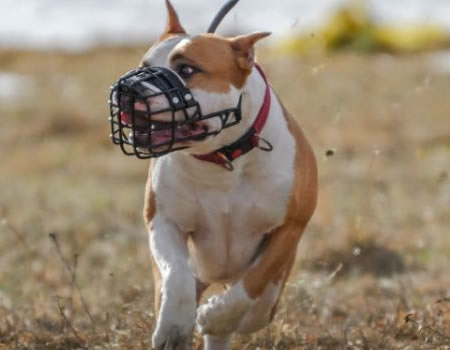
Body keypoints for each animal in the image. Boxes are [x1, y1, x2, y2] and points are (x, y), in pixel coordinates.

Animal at [118, 1, 318, 348]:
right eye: (143, 65)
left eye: (187, 69)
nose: (129, 86)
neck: (222, 161)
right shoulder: (164, 221)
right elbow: (176, 274)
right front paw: (173, 326)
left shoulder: (289, 228)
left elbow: (253, 283)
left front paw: (216, 316)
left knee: (255, 309)